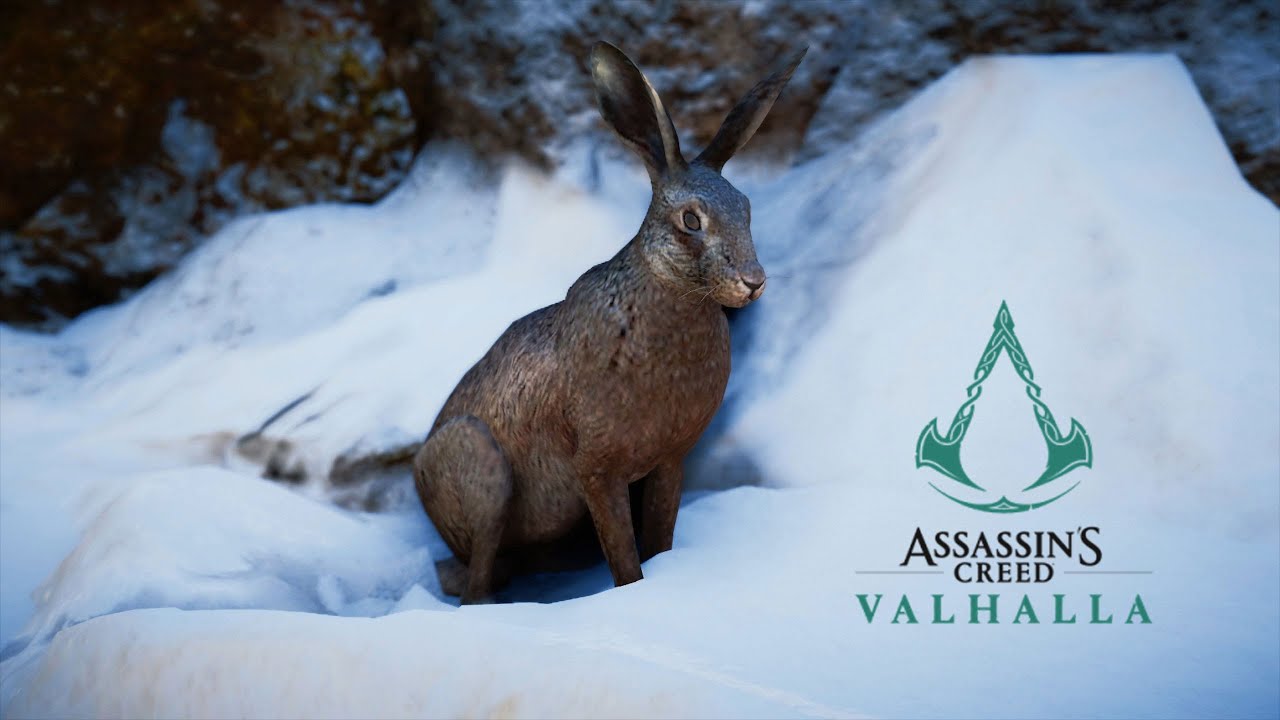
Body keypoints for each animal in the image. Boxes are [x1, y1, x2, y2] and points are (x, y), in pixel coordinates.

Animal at [414, 41, 806, 603]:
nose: (753, 282)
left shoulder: (668, 461)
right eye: (691, 220)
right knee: (476, 580)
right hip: (481, 470)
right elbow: (623, 557)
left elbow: (660, 537)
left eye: (747, 208)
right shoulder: (598, 470)